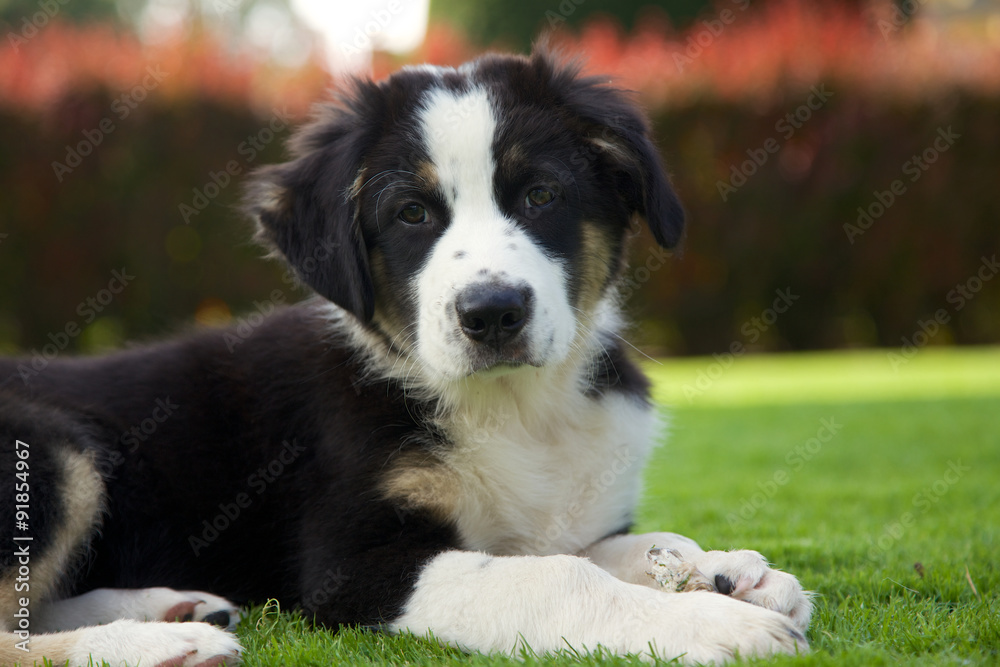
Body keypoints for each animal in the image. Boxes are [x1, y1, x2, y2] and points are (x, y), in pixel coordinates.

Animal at [0, 49, 812, 664]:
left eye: (542, 194)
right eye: (412, 214)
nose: (492, 313)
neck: (517, 409)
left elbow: (605, 546)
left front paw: (720, 570)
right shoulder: (356, 564)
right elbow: (550, 578)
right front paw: (713, 624)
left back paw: (173, 608)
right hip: (58, 448)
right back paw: (152, 643)